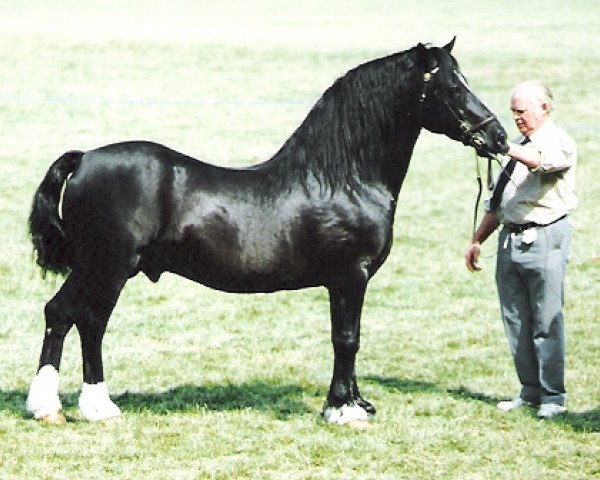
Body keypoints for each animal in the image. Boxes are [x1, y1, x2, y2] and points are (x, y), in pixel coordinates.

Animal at [27, 40, 506, 424]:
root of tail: (85, 158)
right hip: (108, 267)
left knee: (60, 314)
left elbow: (350, 339)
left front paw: (357, 402)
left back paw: (48, 407)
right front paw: (343, 410)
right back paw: (94, 407)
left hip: (96, 268)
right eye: (452, 87)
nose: (498, 137)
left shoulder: (348, 281)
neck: (343, 178)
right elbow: (346, 339)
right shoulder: (350, 276)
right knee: (87, 320)